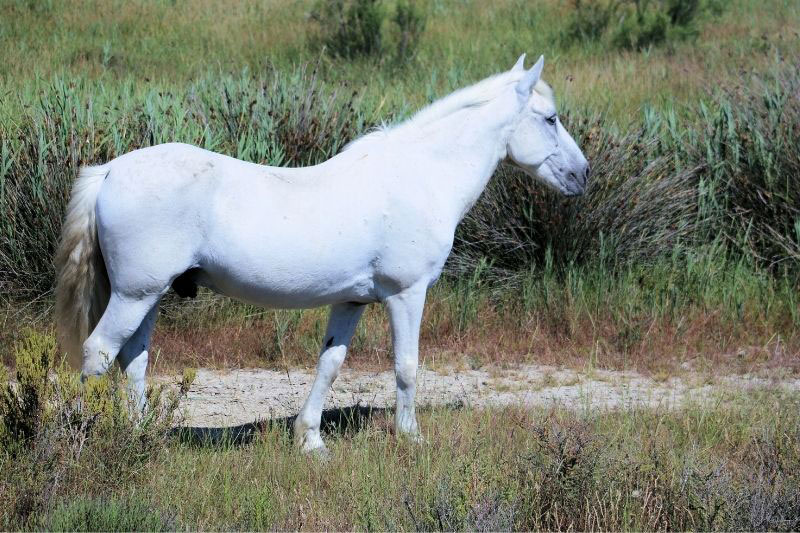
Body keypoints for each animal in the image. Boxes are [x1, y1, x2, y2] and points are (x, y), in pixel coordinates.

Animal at [55, 54, 589, 453]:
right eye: (550, 119)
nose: (582, 175)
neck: (419, 175)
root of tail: (110, 171)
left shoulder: (351, 301)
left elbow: (330, 363)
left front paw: (309, 440)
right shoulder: (407, 295)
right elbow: (407, 366)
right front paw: (411, 438)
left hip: (147, 296)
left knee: (133, 360)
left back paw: (141, 436)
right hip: (134, 294)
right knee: (99, 353)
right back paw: (81, 440)